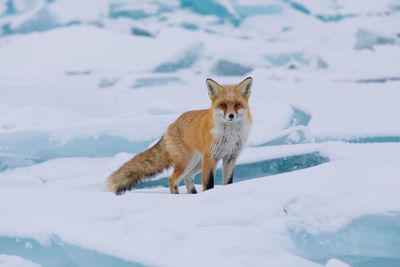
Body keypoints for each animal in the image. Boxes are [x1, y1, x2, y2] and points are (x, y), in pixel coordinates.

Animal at [104, 77, 253, 195]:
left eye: (237, 105)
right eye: (223, 105)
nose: (231, 116)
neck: (230, 135)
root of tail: (170, 126)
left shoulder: (231, 157)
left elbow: (228, 182)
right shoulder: (212, 157)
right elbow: (208, 183)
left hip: (197, 163)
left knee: (187, 177)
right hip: (188, 162)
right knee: (172, 180)